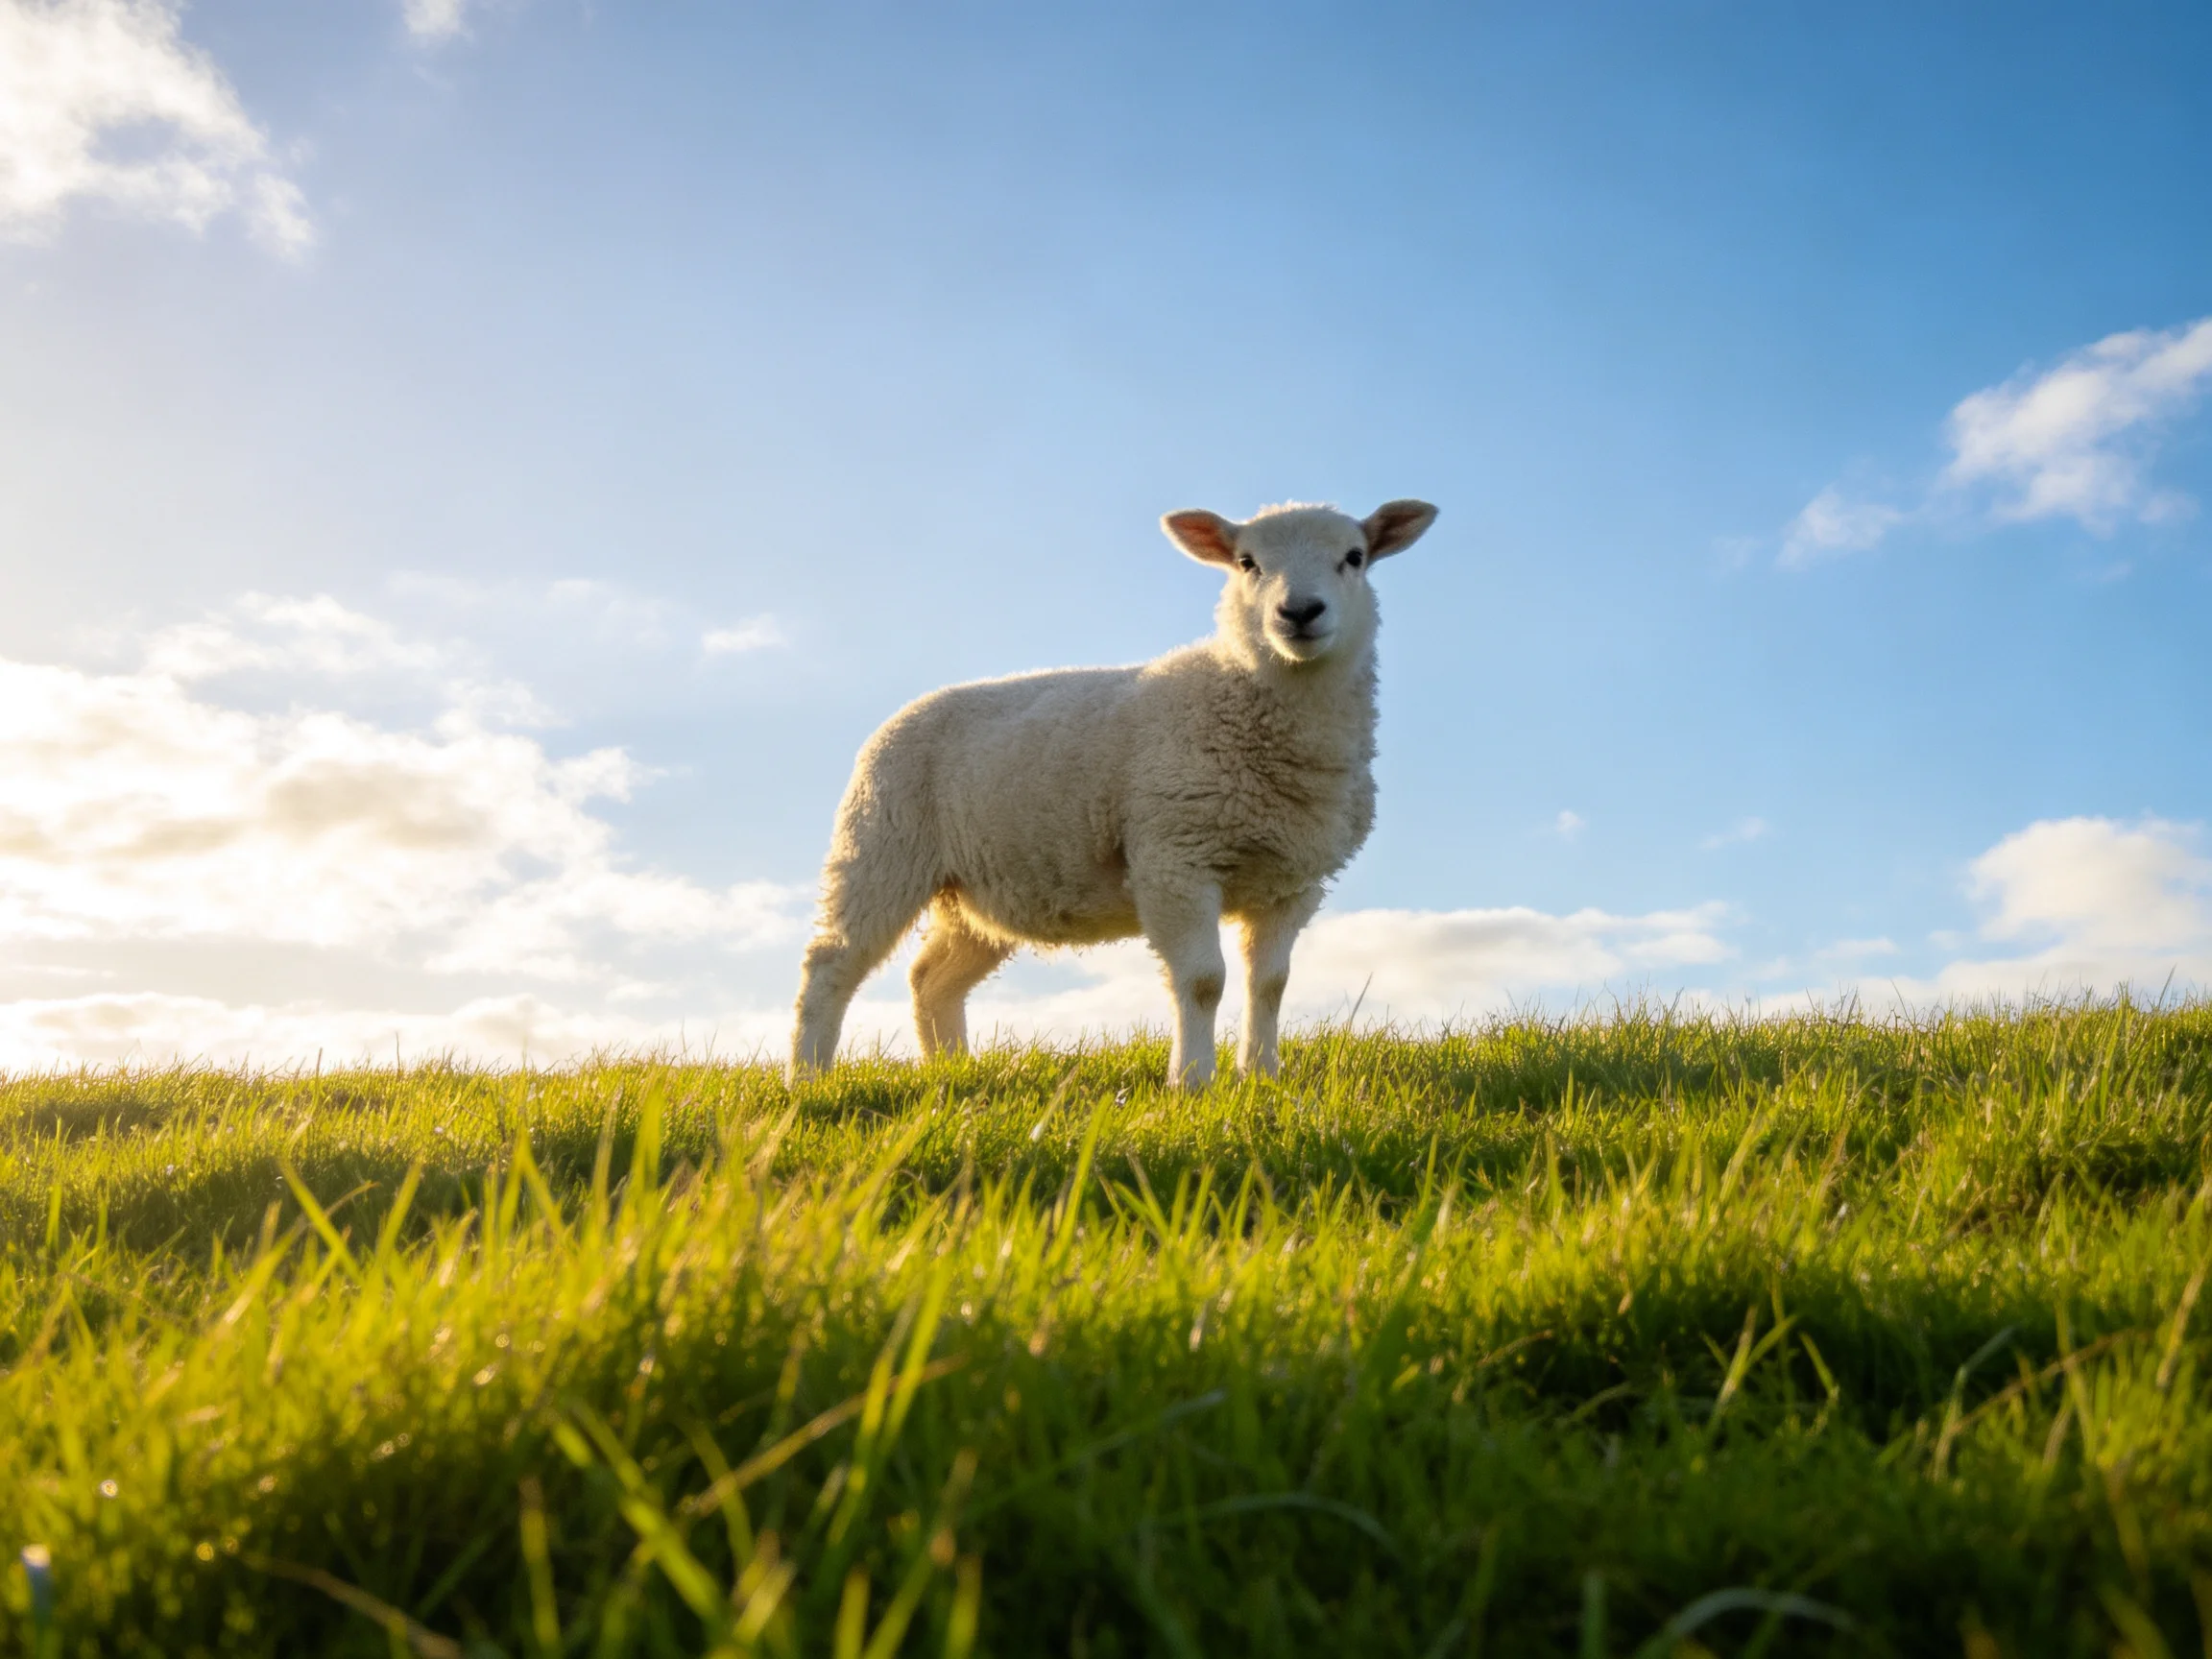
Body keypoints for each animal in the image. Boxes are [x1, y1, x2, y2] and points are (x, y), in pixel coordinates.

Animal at [788, 498, 1439, 1086]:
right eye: (1246, 562)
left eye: (1354, 558)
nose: (1299, 612)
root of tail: (898, 717)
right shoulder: (1174, 861)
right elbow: (1204, 981)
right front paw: (1193, 1082)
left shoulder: (1291, 883)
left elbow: (1270, 985)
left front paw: (1262, 1078)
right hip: (882, 846)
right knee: (830, 964)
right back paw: (808, 1078)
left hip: (976, 891)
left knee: (932, 978)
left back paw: (953, 1073)